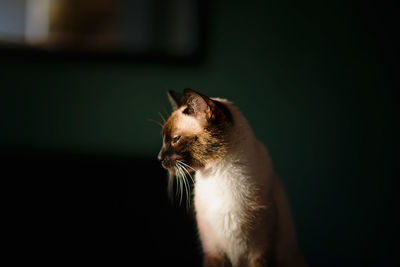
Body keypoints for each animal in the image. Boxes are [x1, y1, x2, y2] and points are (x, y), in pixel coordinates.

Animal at [158, 89, 308, 266]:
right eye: (164, 140)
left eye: (175, 139)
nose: (159, 158)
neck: (217, 175)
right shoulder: (213, 253)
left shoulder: (261, 253)